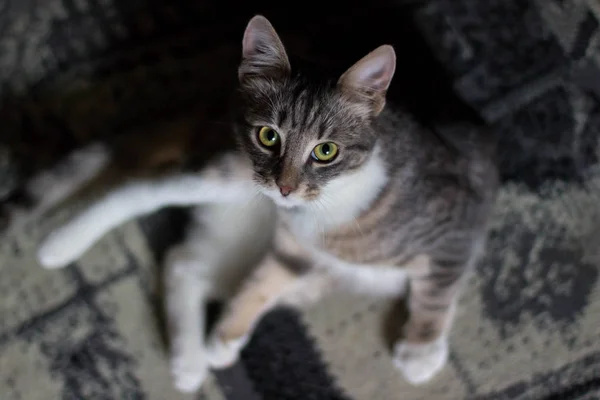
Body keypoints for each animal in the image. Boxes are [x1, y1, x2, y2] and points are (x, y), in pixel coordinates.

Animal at [11, 14, 500, 394]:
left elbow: (267, 280)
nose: (284, 188)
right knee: (143, 190)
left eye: (326, 150)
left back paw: (188, 361)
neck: (328, 206)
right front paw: (422, 351)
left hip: (251, 233)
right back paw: (61, 245)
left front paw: (224, 336)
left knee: (185, 263)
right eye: (269, 136)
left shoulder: (456, 219)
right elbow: (438, 288)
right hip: (233, 179)